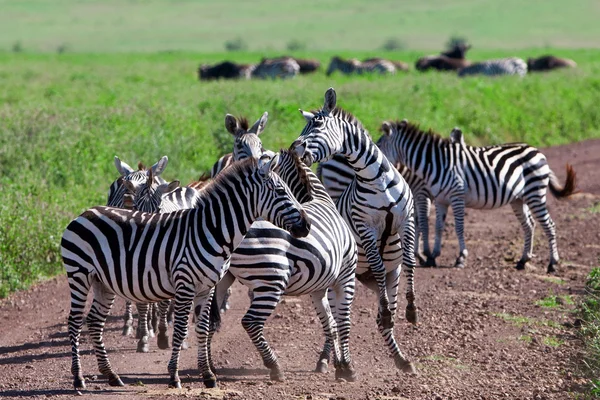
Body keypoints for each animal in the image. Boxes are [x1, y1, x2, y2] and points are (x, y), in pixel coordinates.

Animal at [62, 157, 312, 390]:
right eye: (280, 191)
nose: (307, 226)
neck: (211, 231)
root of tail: (85, 213)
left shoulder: (207, 287)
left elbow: (202, 327)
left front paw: (208, 376)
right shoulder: (185, 284)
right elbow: (181, 330)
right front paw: (174, 376)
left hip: (102, 282)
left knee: (95, 321)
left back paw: (111, 375)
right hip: (79, 274)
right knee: (75, 321)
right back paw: (78, 378)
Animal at [290, 86, 418, 372]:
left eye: (317, 125)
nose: (294, 148)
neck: (376, 180)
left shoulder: (407, 219)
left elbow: (410, 261)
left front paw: (412, 309)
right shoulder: (365, 227)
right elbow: (378, 266)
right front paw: (386, 309)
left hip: (384, 278)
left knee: (378, 321)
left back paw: (401, 359)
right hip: (331, 282)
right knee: (334, 322)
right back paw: (328, 360)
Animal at [380, 120, 576, 274]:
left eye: (379, 145)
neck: (434, 164)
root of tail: (536, 150)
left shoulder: (454, 196)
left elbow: (457, 227)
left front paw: (460, 258)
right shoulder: (441, 200)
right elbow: (438, 227)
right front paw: (432, 256)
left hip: (535, 193)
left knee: (549, 225)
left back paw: (552, 264)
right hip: (519, 199)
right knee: (529, 225)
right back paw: (523, 260)